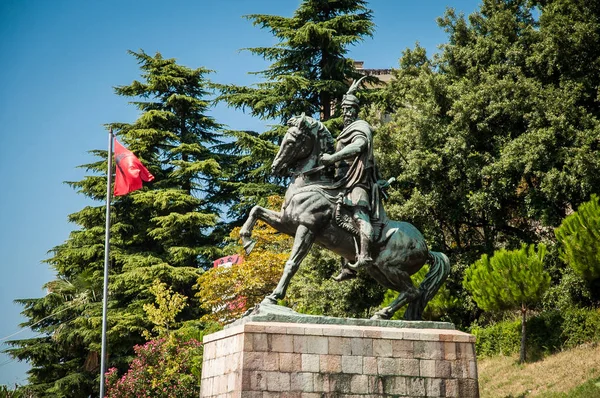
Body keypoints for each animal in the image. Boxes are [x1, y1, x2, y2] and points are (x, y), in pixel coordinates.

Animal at [239, 115, 450, 320]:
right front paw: (247, 240)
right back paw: (382, 315)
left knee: (413, 292)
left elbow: (292, 264)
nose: (276, 167)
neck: (311, 186)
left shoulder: (307, 228)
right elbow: (256, 210)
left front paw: (273, 297)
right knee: (410, 292)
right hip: (378, 271)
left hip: (390, 267)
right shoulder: (286, 223)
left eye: (292, 141)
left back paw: (383, 313)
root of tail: (426, 248)